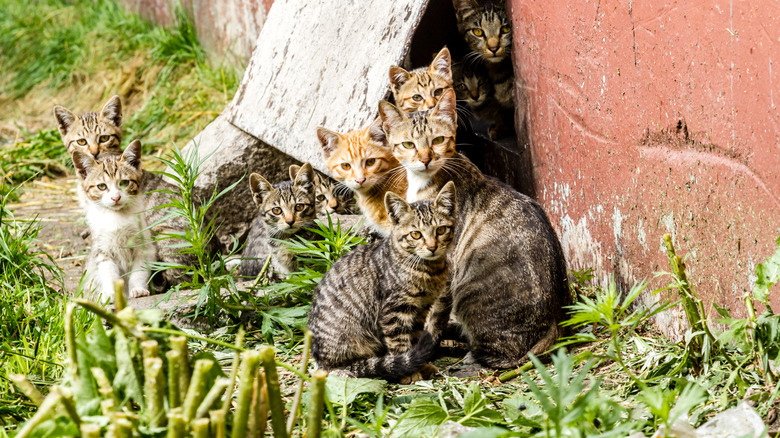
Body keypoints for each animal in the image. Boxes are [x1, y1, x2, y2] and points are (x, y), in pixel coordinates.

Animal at [71, 140, 154, 304]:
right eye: (102, 186)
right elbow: (108, 273)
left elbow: (139, 271)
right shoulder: (102, 249)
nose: (116, 197)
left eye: (124, 183)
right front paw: (111, 294)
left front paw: (138, 289)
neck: (116, 216)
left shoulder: (143, 246)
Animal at [310, 181, 460, 380]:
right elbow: (399, 342)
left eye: (440, 230)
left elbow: (415, 339)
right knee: (339, 369)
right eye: (416, 234)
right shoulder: (394, 310)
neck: (429, 271)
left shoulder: (421, 309)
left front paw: (421, 365)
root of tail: (319, 359)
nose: (432, 247)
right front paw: (409, 372)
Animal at [376, 90, 568, 370]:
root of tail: (554, 322)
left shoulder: (444, 269)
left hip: (471, 295)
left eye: (438, 140)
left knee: (507, 354)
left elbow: (433, 315)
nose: (425, 159)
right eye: (408, 144)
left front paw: (423, 347)